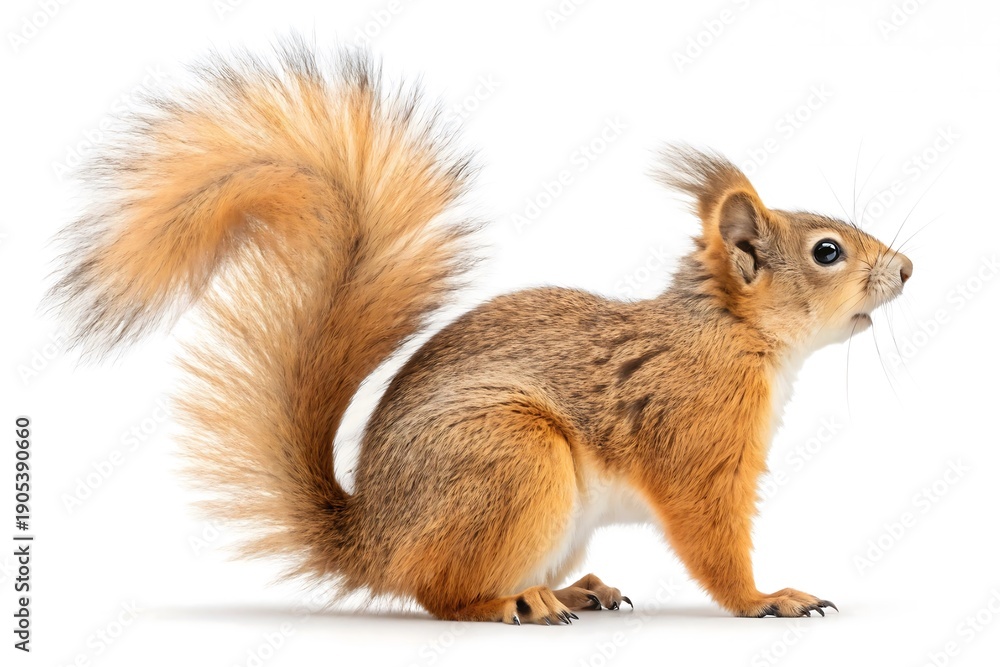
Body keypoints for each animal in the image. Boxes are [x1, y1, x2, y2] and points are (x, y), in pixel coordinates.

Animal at [49, 42, 913, 625]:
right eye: (827, 252)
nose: (907, 268)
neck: (731, 336)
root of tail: (377, 540)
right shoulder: (693, 439)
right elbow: (712, 539)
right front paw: (768, 597)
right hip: (513, 457)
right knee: (439, 593)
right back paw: (515, 605)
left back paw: (572, 588)